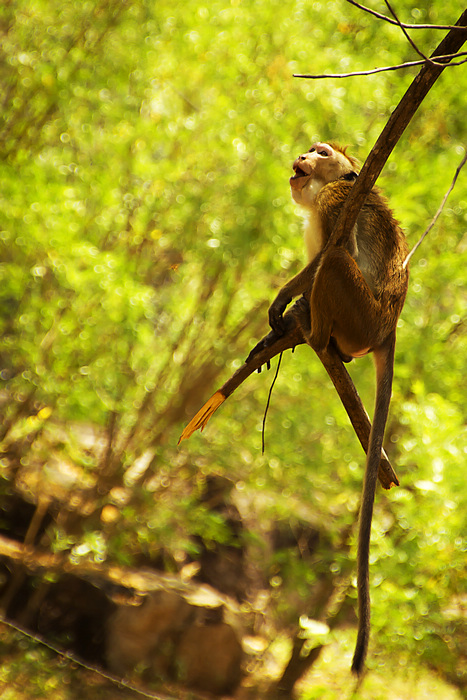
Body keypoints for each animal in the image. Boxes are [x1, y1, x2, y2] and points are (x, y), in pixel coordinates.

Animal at [266, 142, 410, 672]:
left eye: (321, 152)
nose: (303, 155)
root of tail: (388, 328)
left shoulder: (335, 201)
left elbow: (326, 258)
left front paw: (285, 299)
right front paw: (286, 312)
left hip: (360, 312)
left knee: (332, 264)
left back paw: (317, 331)